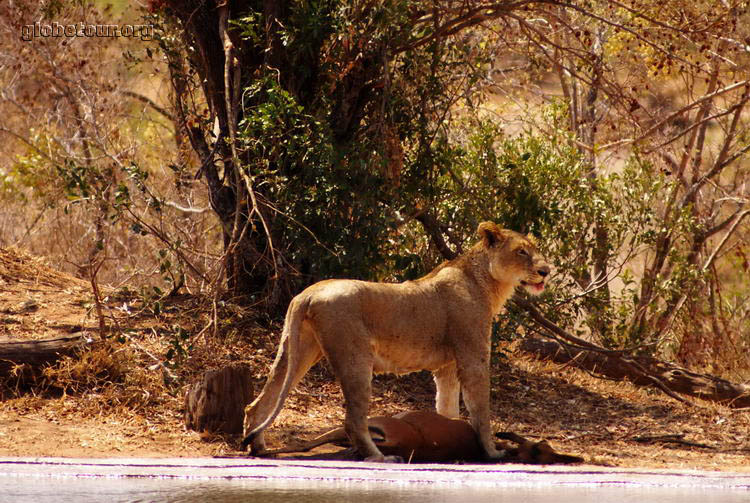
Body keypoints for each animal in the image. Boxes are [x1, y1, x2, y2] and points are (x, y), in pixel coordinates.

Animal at [242, 222, 552, 462]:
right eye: (522, 251)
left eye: (535, 249)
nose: (547, 271)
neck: (486, 283)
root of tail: (308, 292)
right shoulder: (472, 356)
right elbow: (480, 409)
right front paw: (492, 452)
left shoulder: (447, 367)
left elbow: (447, 407)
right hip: (355, 358)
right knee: (353, 420)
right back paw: (380, 457)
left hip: (297, 351)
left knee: (258, 402)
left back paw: (258, 447)